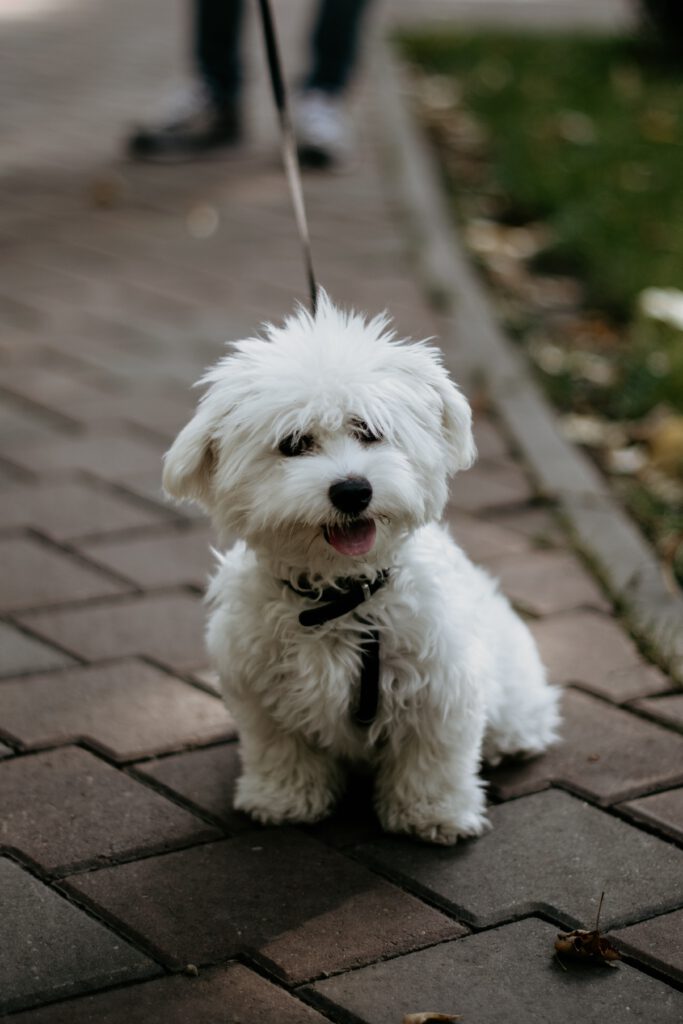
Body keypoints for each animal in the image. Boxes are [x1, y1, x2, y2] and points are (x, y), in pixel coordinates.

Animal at [163, 292, 561, 843]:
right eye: (293, 443)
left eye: (370, 431)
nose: (353, 490)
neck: (341, 596)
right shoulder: (262, 690)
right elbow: (281, 749)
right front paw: (283, 798)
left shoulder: (440, 687)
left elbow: (432, 758)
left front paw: (433, 813)